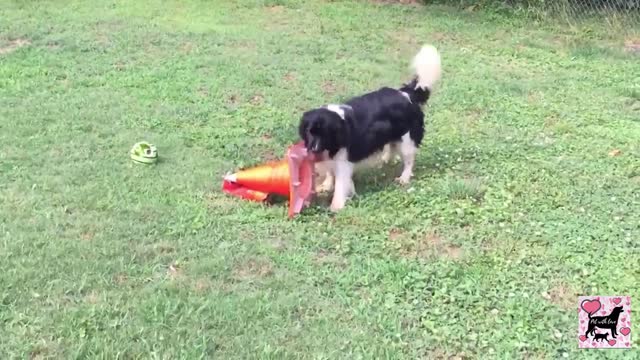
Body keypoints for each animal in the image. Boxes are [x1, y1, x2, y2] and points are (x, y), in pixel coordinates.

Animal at [298, 44, 440, 211]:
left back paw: (404, 178)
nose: (313, 149)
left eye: (325, 134)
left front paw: (336, 206)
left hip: (408, 140)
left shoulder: (343, 162)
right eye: (309, 132)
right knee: (392, 145)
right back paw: (385, 160)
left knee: (409, 160)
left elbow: (340, 184)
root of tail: (406, 94)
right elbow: (330, 173)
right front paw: (326, 185)